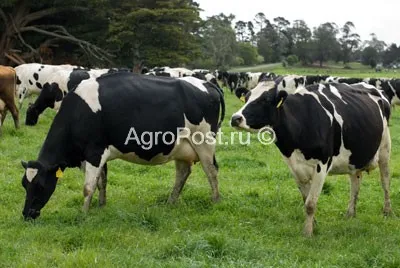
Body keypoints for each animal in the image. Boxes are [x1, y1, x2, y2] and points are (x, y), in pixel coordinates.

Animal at [20, 73, 225, 220]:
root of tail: (206, 84)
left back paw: (215, 201)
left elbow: (88, 187)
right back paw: (171, 202)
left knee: (211, 171)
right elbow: (101, 181)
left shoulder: (94, 153)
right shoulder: (97, 155)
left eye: (40, 185)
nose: (27, 214)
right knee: (183, 172)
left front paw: (83, 214)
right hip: (180, 146)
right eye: (24, 184)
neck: (78, 113)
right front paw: (101, 206)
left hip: (204, 141)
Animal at [231, 80, 390, 236]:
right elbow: (305, 199)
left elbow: (310, 204)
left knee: (385, 181)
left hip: (385, 149)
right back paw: (350, 214)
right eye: (246, 97)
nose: (235, 118)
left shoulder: (322, 165)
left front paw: (307, 233)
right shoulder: (295, 167)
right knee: (355, 182)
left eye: (265, 99)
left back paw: (387, 211)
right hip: (354, 157)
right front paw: (313, 225)